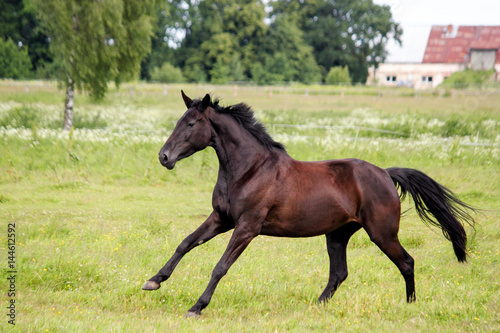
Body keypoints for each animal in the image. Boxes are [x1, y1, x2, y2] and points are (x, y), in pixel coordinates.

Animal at [142, 91, 476, 316]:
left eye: (191, 124)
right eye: (180, 121)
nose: (164, 157)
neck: (250, 169)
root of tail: (385, 173)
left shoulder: (247, 227)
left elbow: (220, 266)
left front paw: (196, 307)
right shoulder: (221, 219)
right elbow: (185, 243)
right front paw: (153, 281)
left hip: (382, 233)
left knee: (406, 262)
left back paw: (409, 305)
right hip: (337, 235)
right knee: (339, 273)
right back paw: (315, 307)